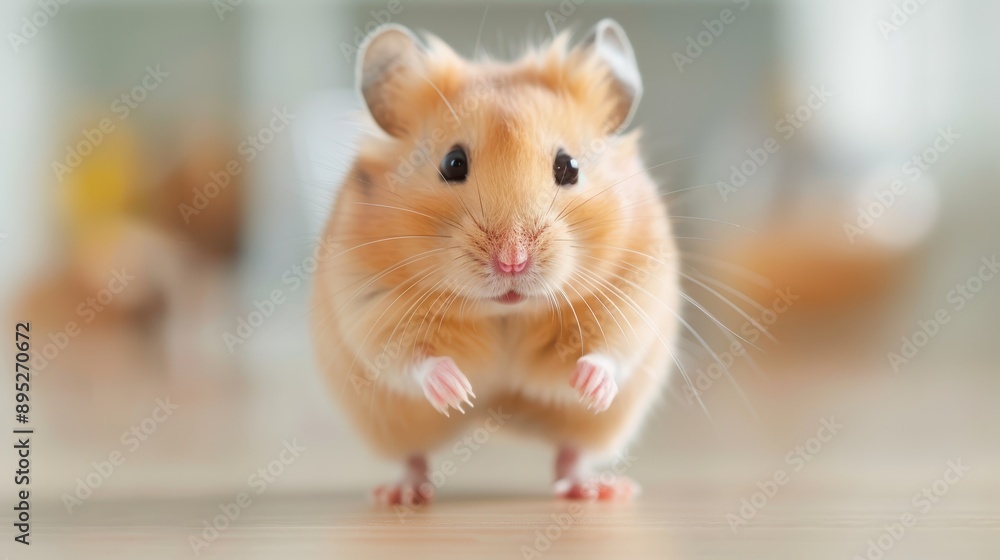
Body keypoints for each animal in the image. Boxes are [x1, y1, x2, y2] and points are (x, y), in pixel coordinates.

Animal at [311, 19, 680, 505]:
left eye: (570, 166)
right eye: (452, 163)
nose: (512, 262)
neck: (506, 312)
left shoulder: (635, 293)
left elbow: (611, 351)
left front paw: (589, 386)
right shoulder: (371, 307)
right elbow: (411, 359)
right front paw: (457, 391)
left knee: (571, 454)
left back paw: (597, 489)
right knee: (413, 457)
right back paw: (402, 493)